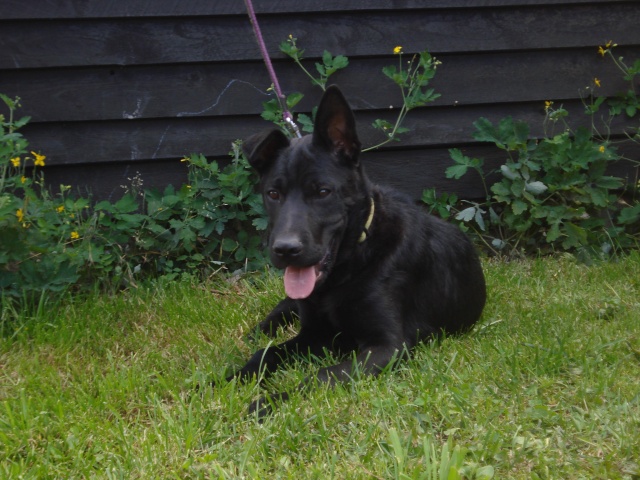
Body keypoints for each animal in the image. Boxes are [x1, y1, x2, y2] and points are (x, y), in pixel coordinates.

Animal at [228, 84, 482, 414]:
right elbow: (265, 354)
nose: (285, 249)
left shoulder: (387, 347)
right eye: (273, 193)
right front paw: (219, 381)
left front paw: (268, 404)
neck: (350, 266)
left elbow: (321, 376)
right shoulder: (315, 333)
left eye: (323, 191)